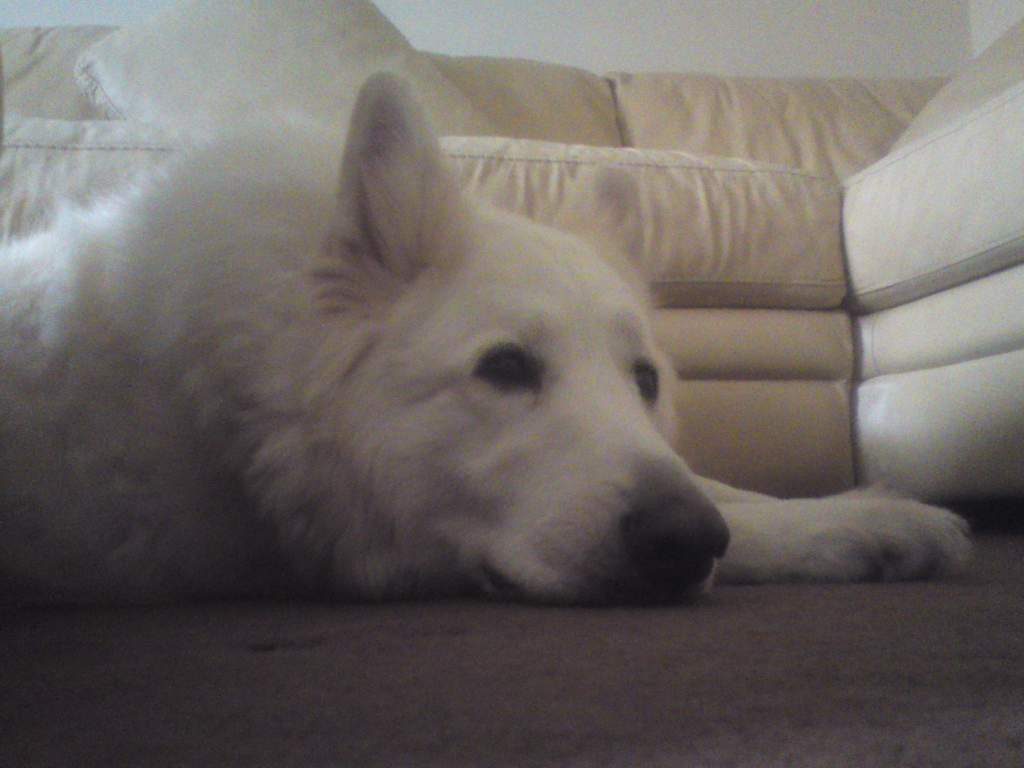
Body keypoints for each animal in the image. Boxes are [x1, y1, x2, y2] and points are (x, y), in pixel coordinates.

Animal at [0, 74, 970, 604]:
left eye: (645, 381)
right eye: (503, 369)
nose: (683, 538)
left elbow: (723, 487)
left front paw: (868, 511)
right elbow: (736, 513)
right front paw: (850, 522)